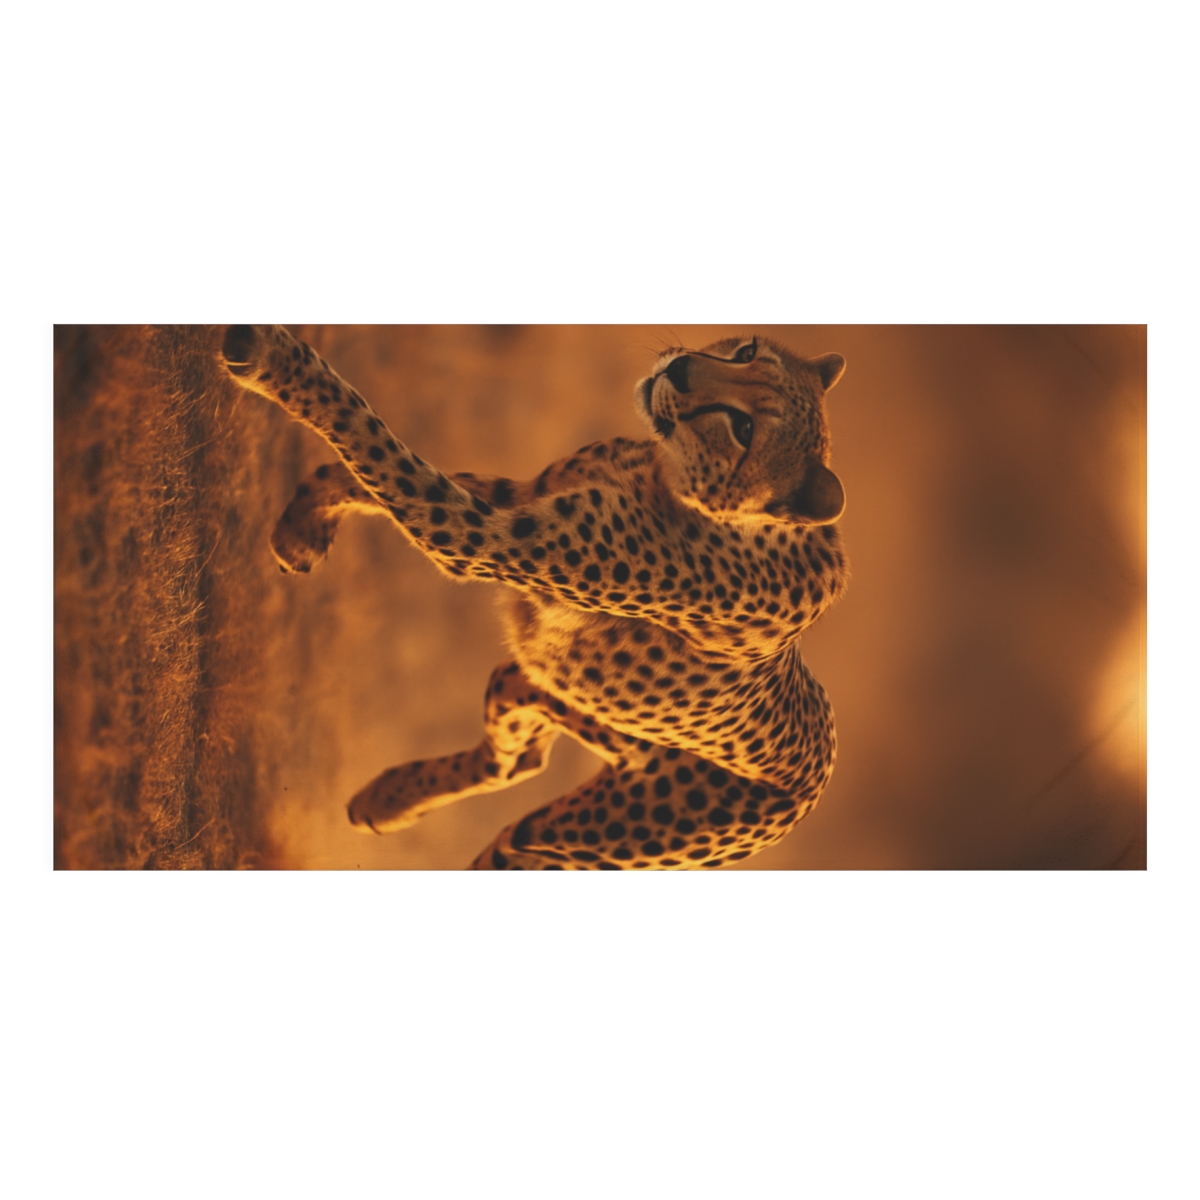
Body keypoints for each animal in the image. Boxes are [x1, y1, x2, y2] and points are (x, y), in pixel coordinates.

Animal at [221, 325, 850, 869]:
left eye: (744, 429)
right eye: (745, 351)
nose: (680, 368)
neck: (668, 475)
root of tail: (819, 777)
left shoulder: (484, 536)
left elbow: (373, 438)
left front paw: (271, 359)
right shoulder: (520, 498)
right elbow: (377, 466)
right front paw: (305, 523)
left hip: (562, 843)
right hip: (538, 691)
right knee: (517, 759)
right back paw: (386, 799)